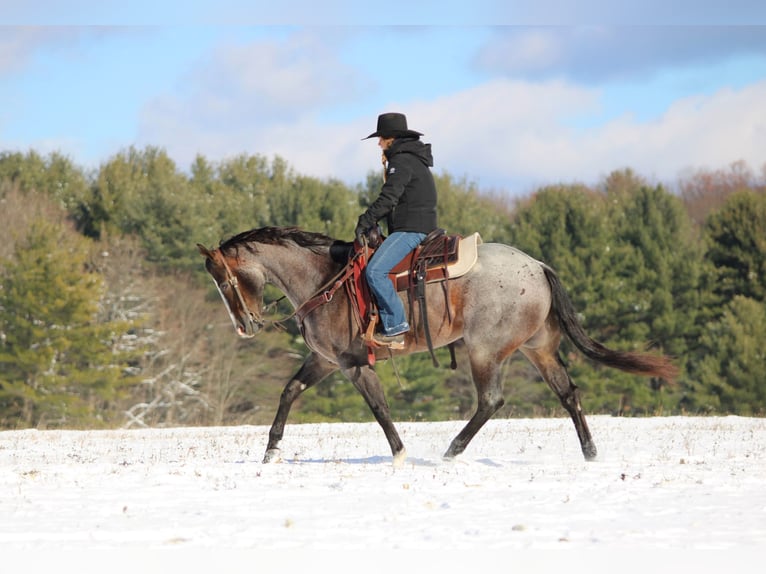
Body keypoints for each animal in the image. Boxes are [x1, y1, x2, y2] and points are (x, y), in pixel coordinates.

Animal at [197, 226, 678, 466]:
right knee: (568, 394)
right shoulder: (325, 360)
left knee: (490, 401)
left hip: (485, 350)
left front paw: (399, 456)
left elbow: (379, 407)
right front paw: (270, 452)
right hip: (536, 349)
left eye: (225, 279)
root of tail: (537, 266)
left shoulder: (352, 363)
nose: (245, 327)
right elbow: (290, 391)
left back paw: (451, 451)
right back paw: (590, 455)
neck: (324, 279)